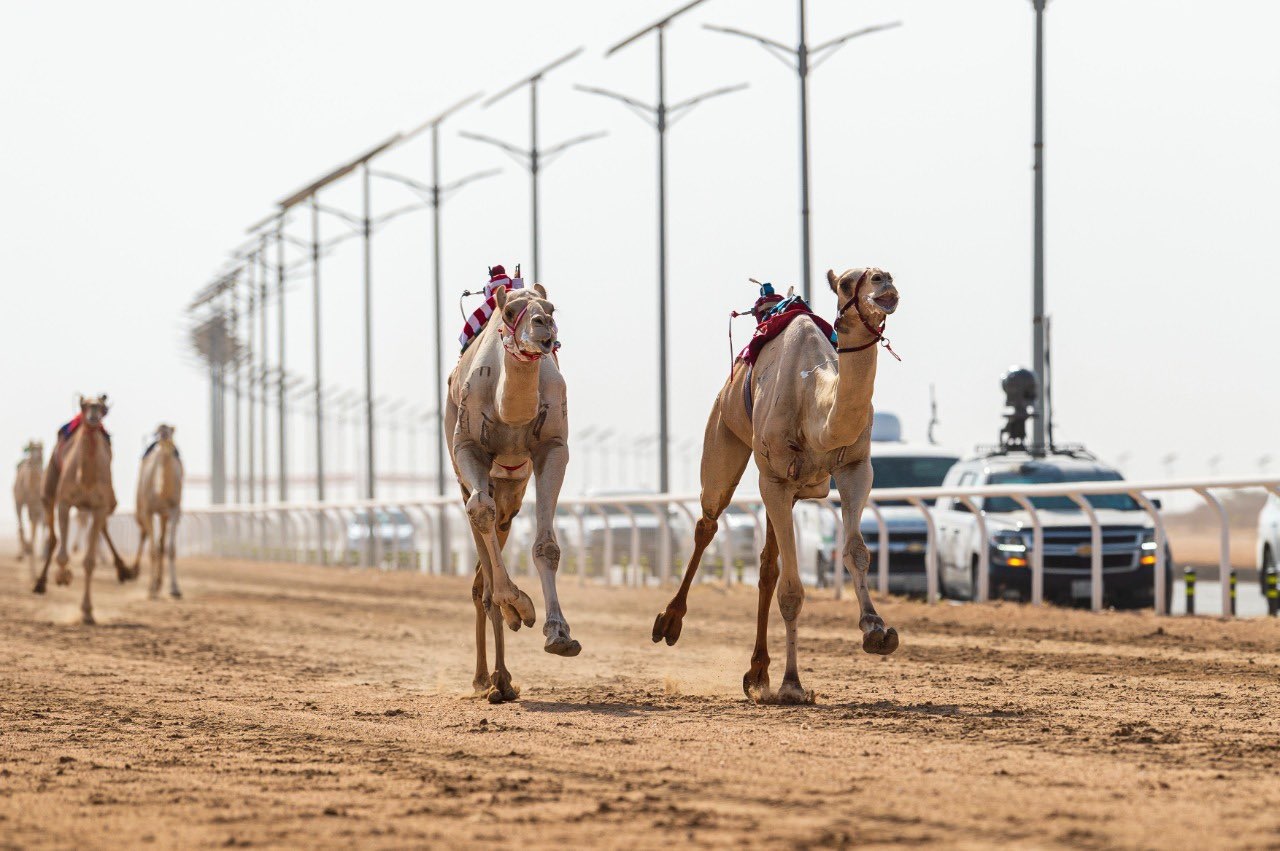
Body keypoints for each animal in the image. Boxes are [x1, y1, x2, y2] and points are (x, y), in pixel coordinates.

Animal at [34, 394, 135, 624]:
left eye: (103, 407)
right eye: (84, 405)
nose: (93, 417)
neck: (86, 478)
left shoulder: (99, 506)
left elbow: (89, 561)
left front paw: (87, 612)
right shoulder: (65, 502)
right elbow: (62, 554)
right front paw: (63, 576)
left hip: (105, 504)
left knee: (103, 527)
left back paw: (123, 570)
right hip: (49, 491)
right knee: (53, 537)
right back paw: (40, 583)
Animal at [132, 422, 185, 596]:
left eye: (171, 431)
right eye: (158, 431)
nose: (164, 437)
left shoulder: (174, 510)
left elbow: (170, 549)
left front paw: (175, 589)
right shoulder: (148, 511)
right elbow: (152, 550)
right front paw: (151, 591)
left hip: (163, 515)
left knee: (161, 543)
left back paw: (159, 582)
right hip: (139, 507)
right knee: (144, 534)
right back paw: (135, 572)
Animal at [445, 272, 576, 701]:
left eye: (550, 309)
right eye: (509, 312)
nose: (543, 326)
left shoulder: (553, 448)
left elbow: (547, 545)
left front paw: (558, 633)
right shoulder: (468, 446)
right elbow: (479, 512)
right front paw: (519, 605)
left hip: (512, 489)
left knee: (488, 552)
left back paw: (500, 679)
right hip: (466, 477)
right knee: (480, 572)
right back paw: (490, 679)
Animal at [655, 267, 906, 701]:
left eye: (881, 272)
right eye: (847, 281)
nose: (883, 279)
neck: (815, 406)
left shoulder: (856, 468)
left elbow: (855, 551)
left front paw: (876, 629)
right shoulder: (773, 478)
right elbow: (791, 590)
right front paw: (792, 685)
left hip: (785, 492)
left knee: (766, 566)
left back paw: (757, 673)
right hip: (725, 439)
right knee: (708, 522)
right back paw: (670, 623)